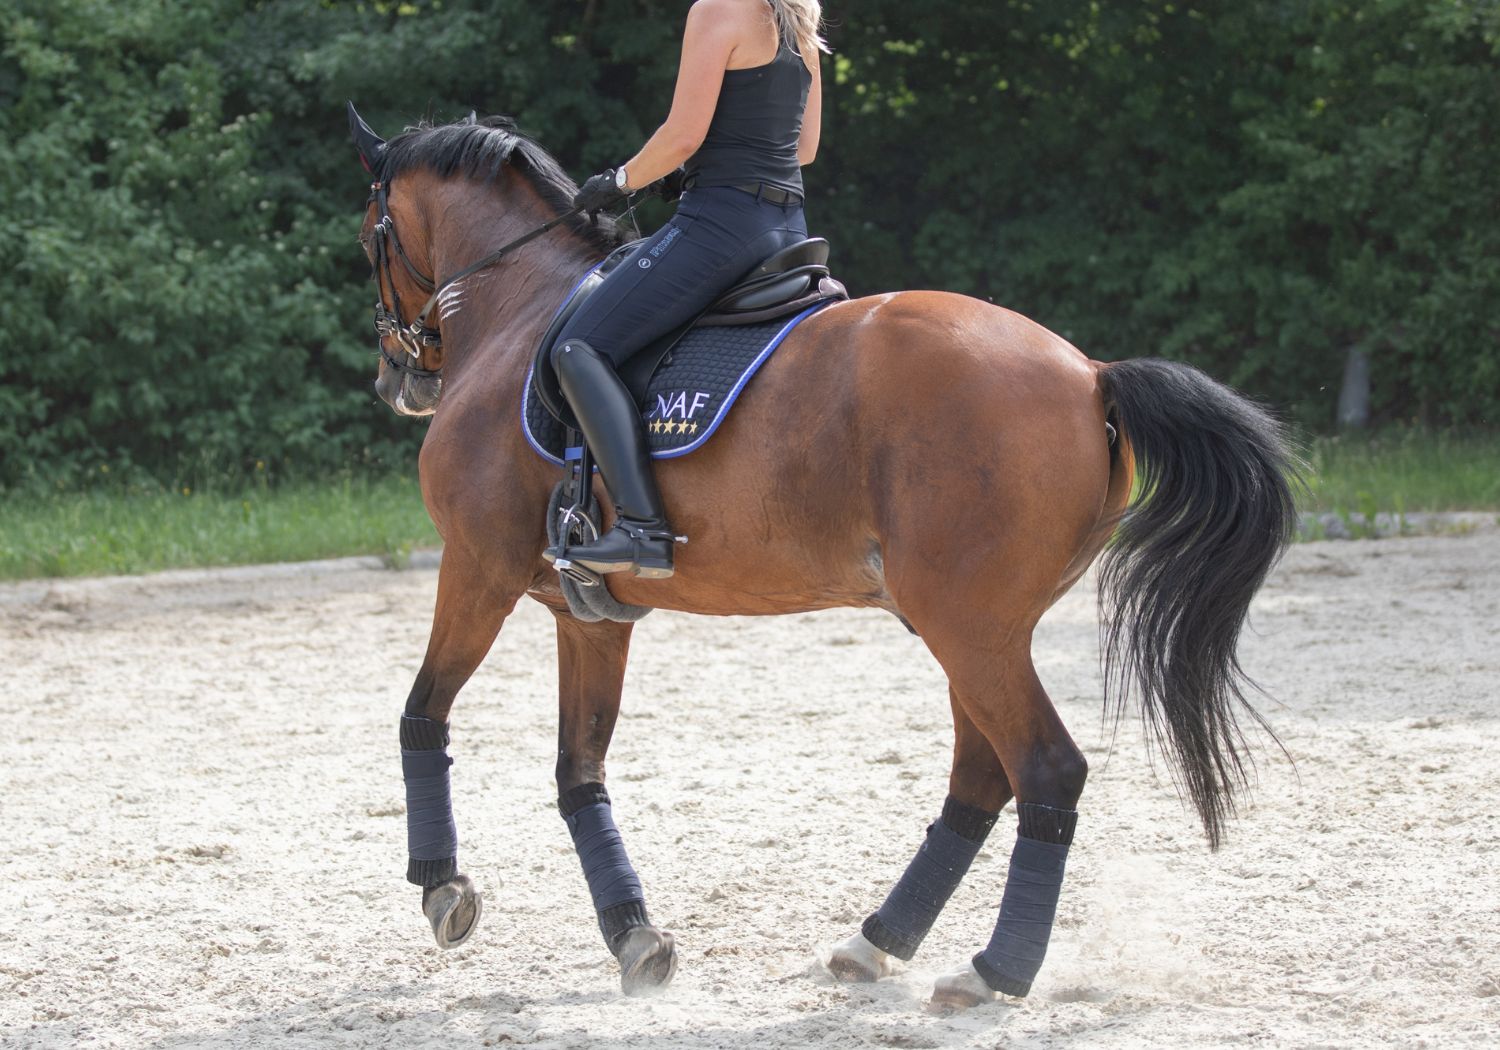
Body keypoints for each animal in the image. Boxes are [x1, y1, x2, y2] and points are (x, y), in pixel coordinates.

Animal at [347, 106, 1299, 1011]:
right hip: (974, 628)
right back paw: (877, 943)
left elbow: (421, 713)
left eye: (368, 236)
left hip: (969, 627)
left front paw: (441, 888)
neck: (516, 308)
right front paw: (634, 937)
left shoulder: (477, 568)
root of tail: (1092, 371)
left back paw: (992, 970)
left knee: (1045, 769)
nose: (398, 380)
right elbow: (578, 773)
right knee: (982, 774)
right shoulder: (588, 612)